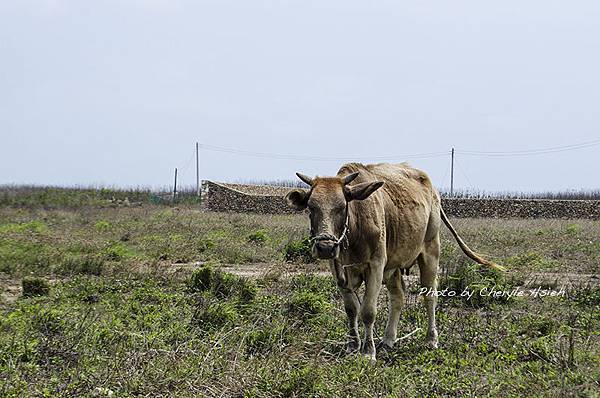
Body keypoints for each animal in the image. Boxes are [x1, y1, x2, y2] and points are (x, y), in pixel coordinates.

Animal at [284, 162, 502, 360]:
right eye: (311, 208)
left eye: (342, 206)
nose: (325, 247)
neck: (355, 228)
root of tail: (433, 192)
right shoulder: (338, 269)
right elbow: (351, 309)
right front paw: (353, 345)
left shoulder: (376, 265)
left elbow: (368, 311)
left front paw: (367, 351)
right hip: (393, 267)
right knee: (398, 296)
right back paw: (388, 339)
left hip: (431, 251)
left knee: (429, 295)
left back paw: (431, 339)